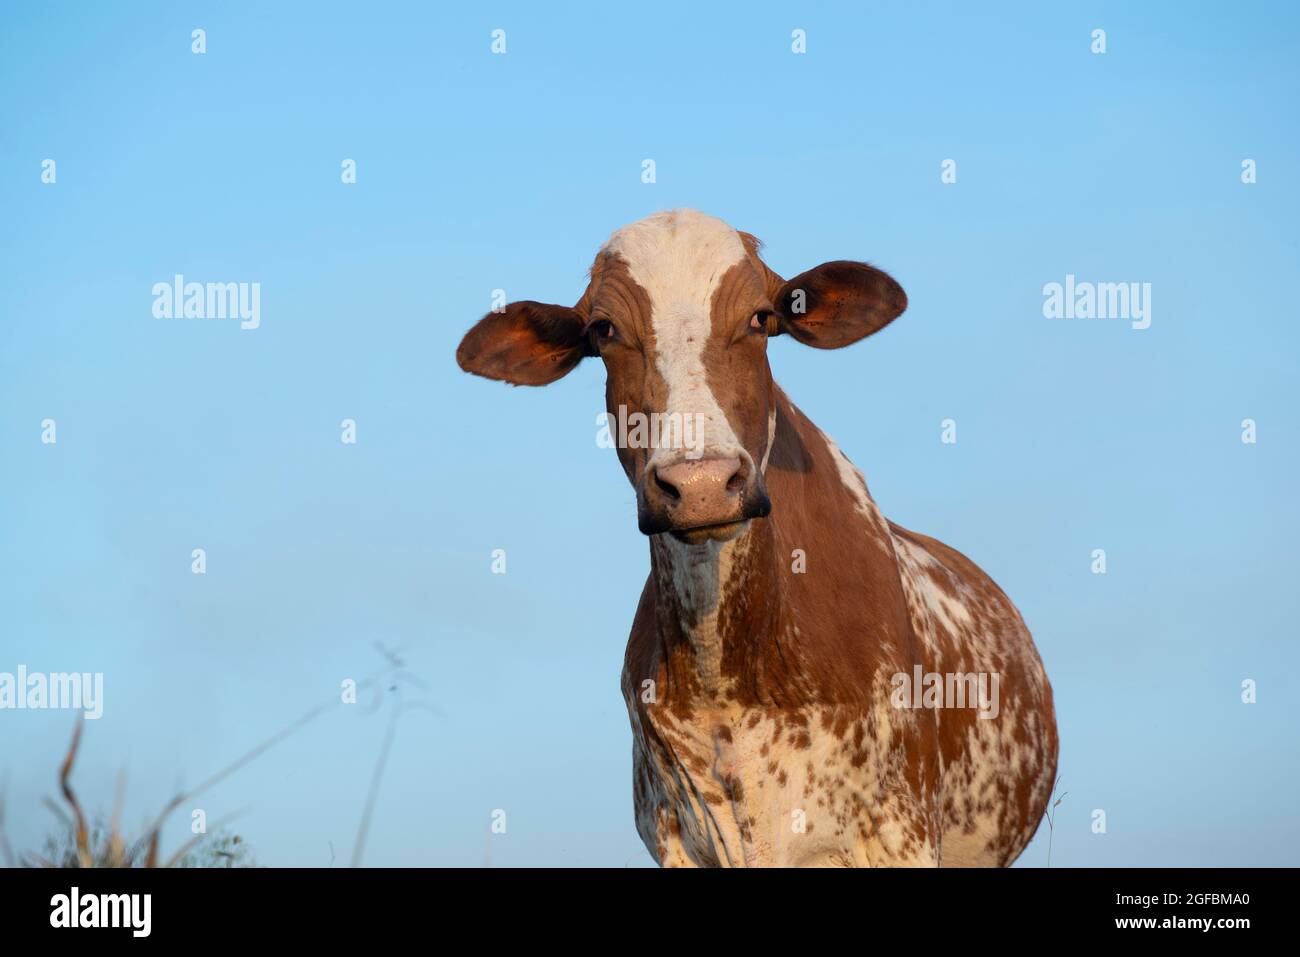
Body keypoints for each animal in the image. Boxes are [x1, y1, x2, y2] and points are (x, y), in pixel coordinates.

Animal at [456, 209, 1058, 867]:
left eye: (760, 319)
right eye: (604, 329)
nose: (700, 483)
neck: (730, 665)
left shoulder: (901, 831)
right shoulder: (678, 839)